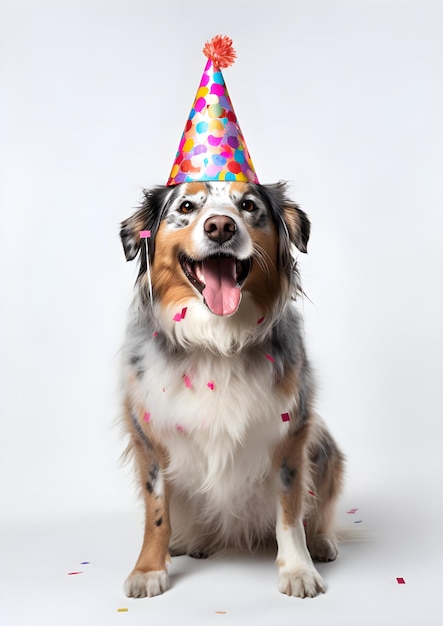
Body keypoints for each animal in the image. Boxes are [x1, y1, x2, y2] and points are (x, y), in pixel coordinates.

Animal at [119, 178, 346, 596]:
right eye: (187, 206)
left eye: (249, 205)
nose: (221, 227)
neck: (217, 340)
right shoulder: (147, 434)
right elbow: (156, 513)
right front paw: (148, 570)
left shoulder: (292, 432)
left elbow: (290, 513)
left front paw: (298, 570)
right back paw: (193, 542)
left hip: (325, 446)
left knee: (318, 511)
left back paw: (322, 542)